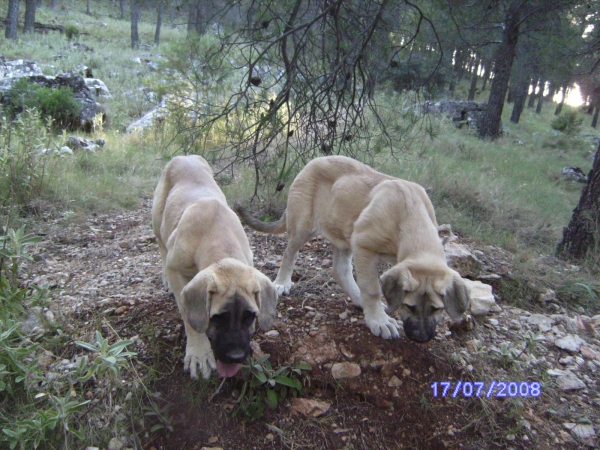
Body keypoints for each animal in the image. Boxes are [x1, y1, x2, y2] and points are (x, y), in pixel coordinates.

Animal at [154, 156, 278, 380]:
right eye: (217, 318)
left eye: (250, 316)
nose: (236, 357)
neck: (217, 232)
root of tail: (184, 157)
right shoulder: (177, 270)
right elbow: (188, 316)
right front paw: (199, 352)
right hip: (157, 221)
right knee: (161, 246)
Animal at [234, 155, 468, 342]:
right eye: (409, 306)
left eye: (437, 309)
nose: (421, 338)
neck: (411, 216)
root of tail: (311, 163)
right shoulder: (364, 245)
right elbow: (372, 289)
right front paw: (379, 321)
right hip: (303, 227)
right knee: (289, 254)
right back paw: (282, 282)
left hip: (342, 234)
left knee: (340, 271)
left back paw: (357, 299)